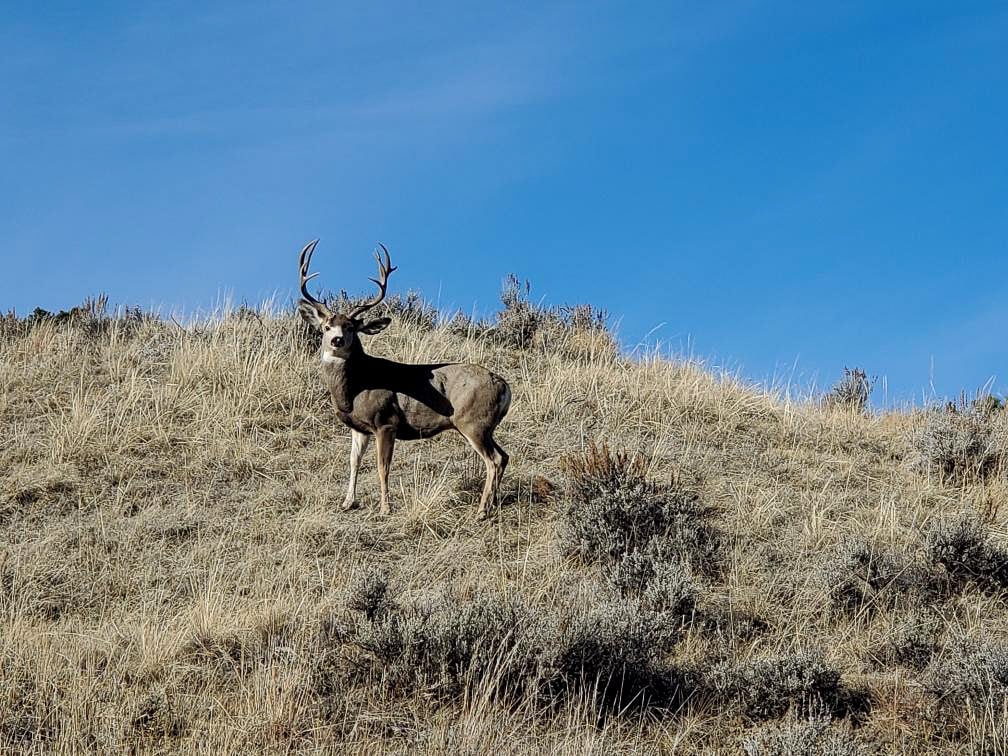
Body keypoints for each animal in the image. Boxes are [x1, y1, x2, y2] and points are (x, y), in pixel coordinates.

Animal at [296, 239, 512, 519]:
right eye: (326, 327)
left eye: (351, 327)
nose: (337, 341)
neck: (354, 389)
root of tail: (504, 385)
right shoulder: (359, 428)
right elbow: (354, 462)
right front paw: (347, 502)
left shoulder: (386, 421)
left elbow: (382, 466)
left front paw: (384, 508)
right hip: (483, 426)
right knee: (504, 456)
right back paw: (492, 505)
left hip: (473, 422)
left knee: (494, 460)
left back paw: (482, 511)